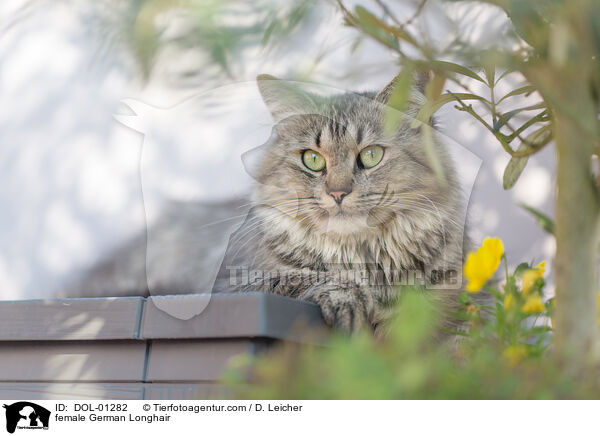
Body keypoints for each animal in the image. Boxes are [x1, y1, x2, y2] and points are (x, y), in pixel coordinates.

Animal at [67, 73, 474, 336]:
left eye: (371, 156)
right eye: (312, 160)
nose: (338, 193)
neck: (358, 259)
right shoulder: (230, 287)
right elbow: (303, 276)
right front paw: (348, 297)